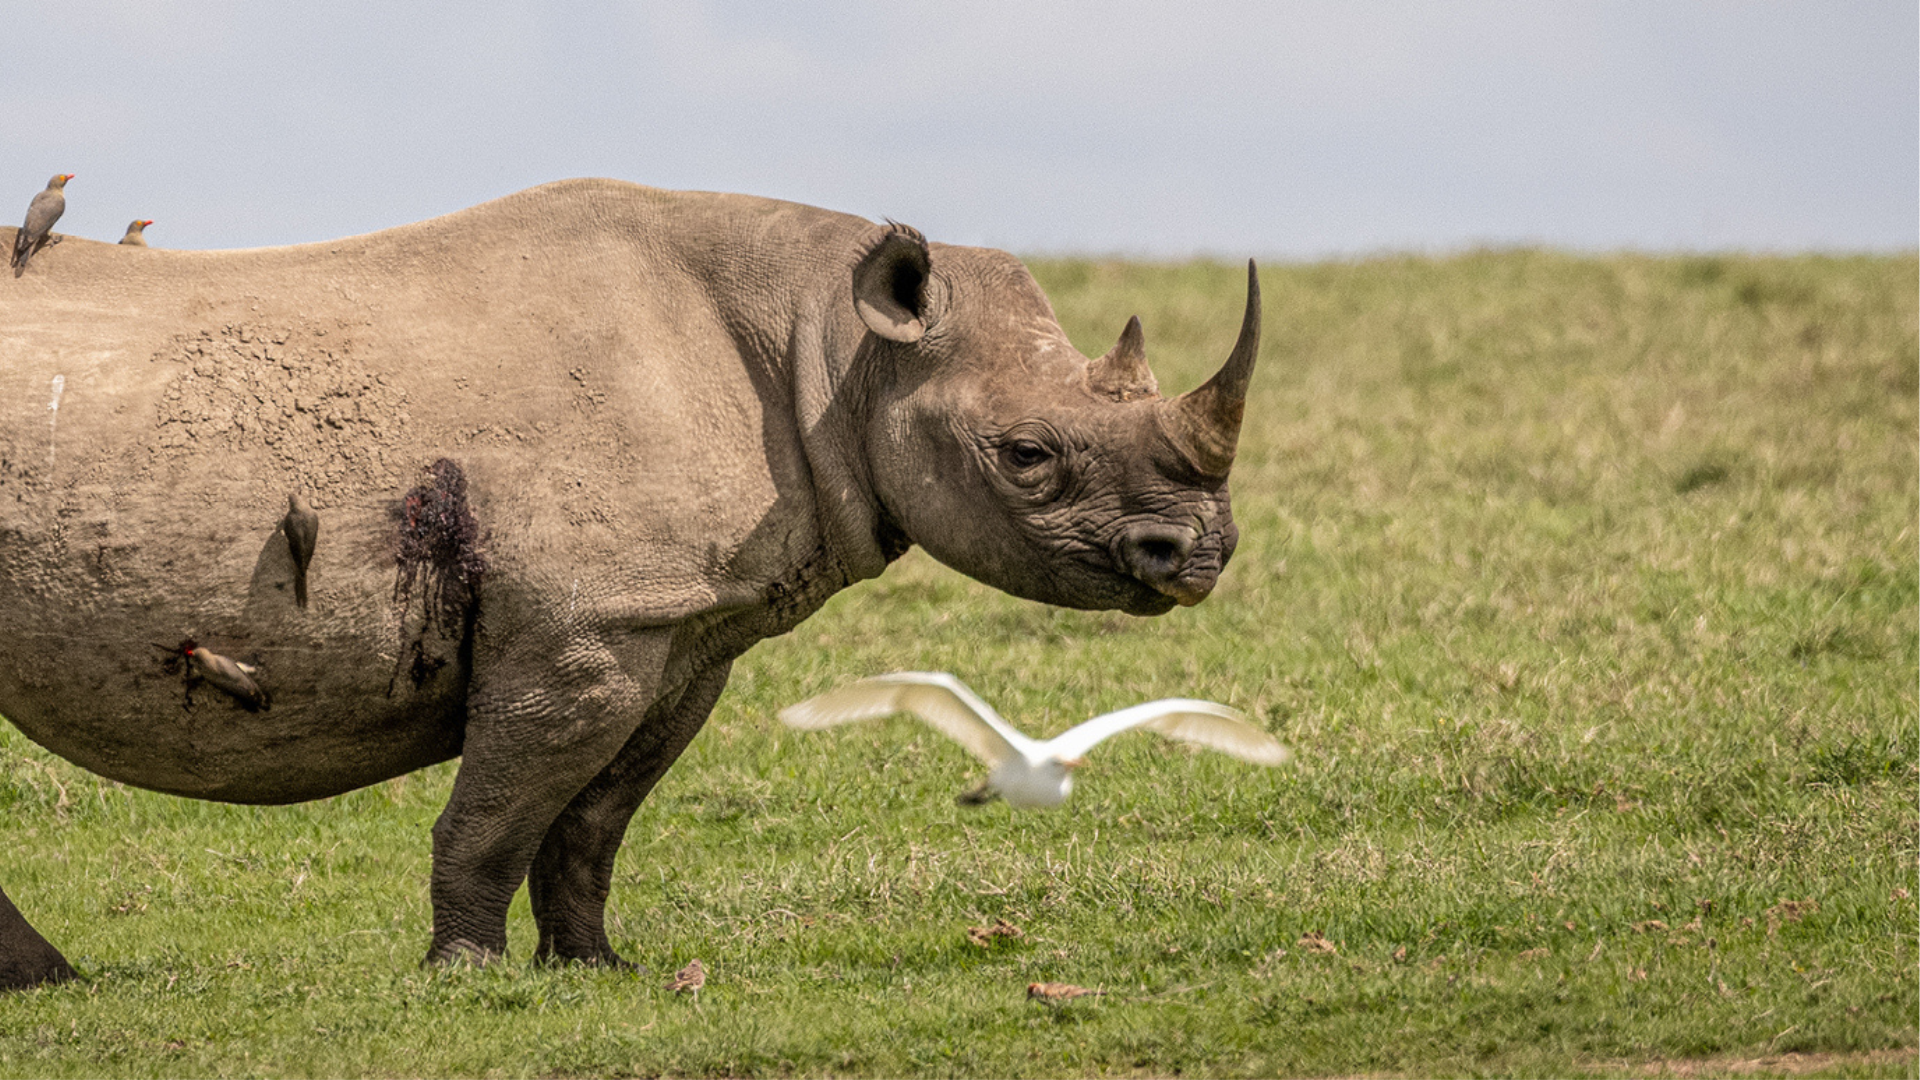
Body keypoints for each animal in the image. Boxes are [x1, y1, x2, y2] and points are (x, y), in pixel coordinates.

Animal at [0, 179, 1259, 989]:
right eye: (1026, 455)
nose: (1197, 555)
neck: (833, 344)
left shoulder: (679, 630)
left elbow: (593, 820)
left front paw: (594, 968)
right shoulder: (583, 627)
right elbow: (496, 815)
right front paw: (464, 978)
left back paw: (50, 986)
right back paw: (54, 985)